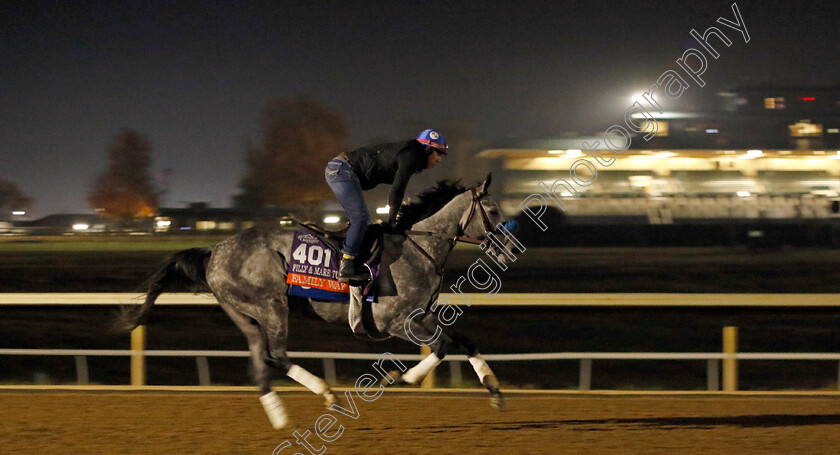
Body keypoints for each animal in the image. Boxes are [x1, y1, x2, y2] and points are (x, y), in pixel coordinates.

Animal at [120, 175, 508, 432]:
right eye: (492, 209)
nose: (508, 247)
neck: (417, 247)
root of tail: (215, 251)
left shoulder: (422, 315)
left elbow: (462, 340)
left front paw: (494, 389)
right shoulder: (395, 321)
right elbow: (441, 346)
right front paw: (400, 377)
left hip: (244, 313)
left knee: (260, 363)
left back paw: (281, 416)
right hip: (272, 304)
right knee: (276, 355)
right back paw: (326, 395)